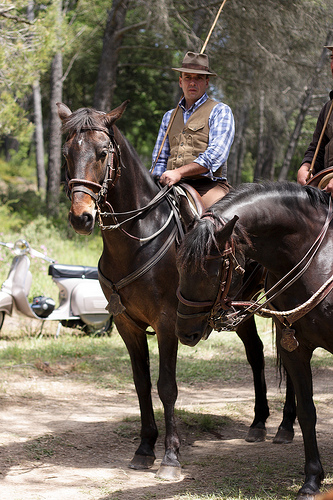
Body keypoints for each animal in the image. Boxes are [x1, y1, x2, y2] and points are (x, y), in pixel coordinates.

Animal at [57, 101, 296, 480]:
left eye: (102, 152)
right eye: (67, 153)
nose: (81, 217)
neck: (139, 238)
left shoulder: (168, 323)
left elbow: (166, 387)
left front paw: (170, 457)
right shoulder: (127, 325)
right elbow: (141, 384)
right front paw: (144, 448)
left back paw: (286, 426)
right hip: (237, 309)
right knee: (256, 353)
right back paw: (258, 423)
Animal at [176, 182, 332, 498]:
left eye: (209, 271)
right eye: (179, 265)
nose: (185, 332)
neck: (318, 258)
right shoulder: (294, 349)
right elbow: (307, 411)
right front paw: (311, 480)